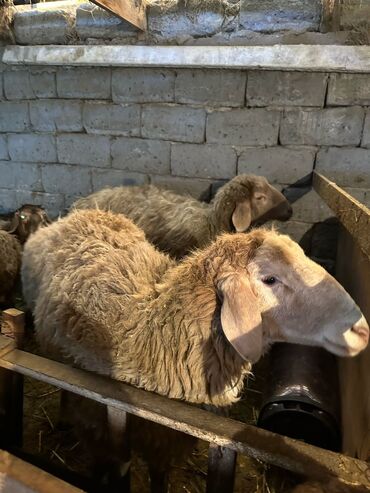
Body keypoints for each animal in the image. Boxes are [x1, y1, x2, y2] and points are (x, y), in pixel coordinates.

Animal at [21, 209, 368, 490]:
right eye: (270, 279)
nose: (361, 330)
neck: (152, 334)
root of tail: (80, 213)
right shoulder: (99, 428)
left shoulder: (167, 438)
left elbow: (159, 476)